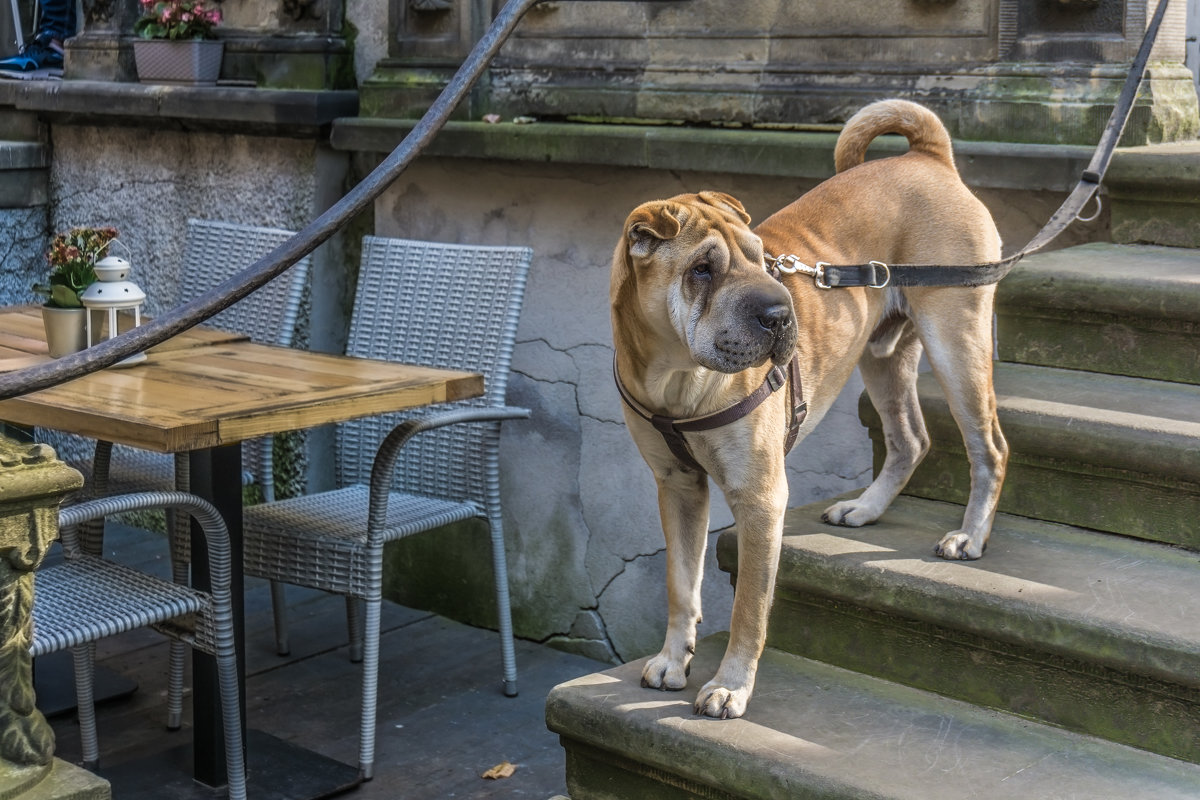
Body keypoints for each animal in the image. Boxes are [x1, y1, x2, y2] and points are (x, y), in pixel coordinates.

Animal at [614, 98, 1008, 719]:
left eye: (761, 261)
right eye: (702, 269)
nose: (781, 315)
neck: (675, 380)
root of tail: (930, 159)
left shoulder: (759, 499)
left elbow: (750, 607)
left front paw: (731, 685)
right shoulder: (677, 486)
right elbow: (682, 584)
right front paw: (674, 660)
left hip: (957, 341)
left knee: (989, 446)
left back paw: (970, 537)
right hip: (883, 357)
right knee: (910, 439)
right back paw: (865, 509)